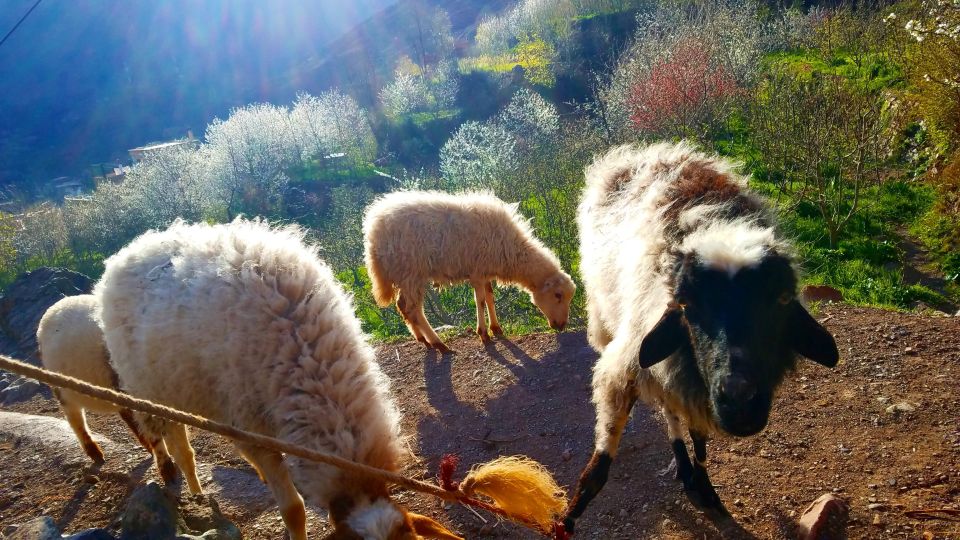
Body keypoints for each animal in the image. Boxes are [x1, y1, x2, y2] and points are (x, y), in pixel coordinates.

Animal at [94, 218, 464, 540]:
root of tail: (132, 249)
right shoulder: (251, 426)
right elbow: (293, 510)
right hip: (151, 388)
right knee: (177, 444)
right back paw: (188, 488)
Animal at [362, 191, 572, 354]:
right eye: (558, 295)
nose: (562, 326)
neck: (512, 250)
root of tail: (372, 231)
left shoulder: (485, 271)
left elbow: (490, 297)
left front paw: (496, 328)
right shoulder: (477, 272)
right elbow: (480, 301)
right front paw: (484, 334)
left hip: (403, 275)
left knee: (403, 306)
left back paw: (423, 340)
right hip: (411, 272)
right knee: (413, 309)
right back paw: (439, 344)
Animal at [564, 141, 840, 528]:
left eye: (783, 298)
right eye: (686, 304)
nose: (740, 401)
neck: (717, 225)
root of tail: (642, 151)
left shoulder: (695, 383)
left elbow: (700, 438)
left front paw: (703, 483)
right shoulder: (634, 363)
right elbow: (598, 469)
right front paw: (566, 519)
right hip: (608, 319)